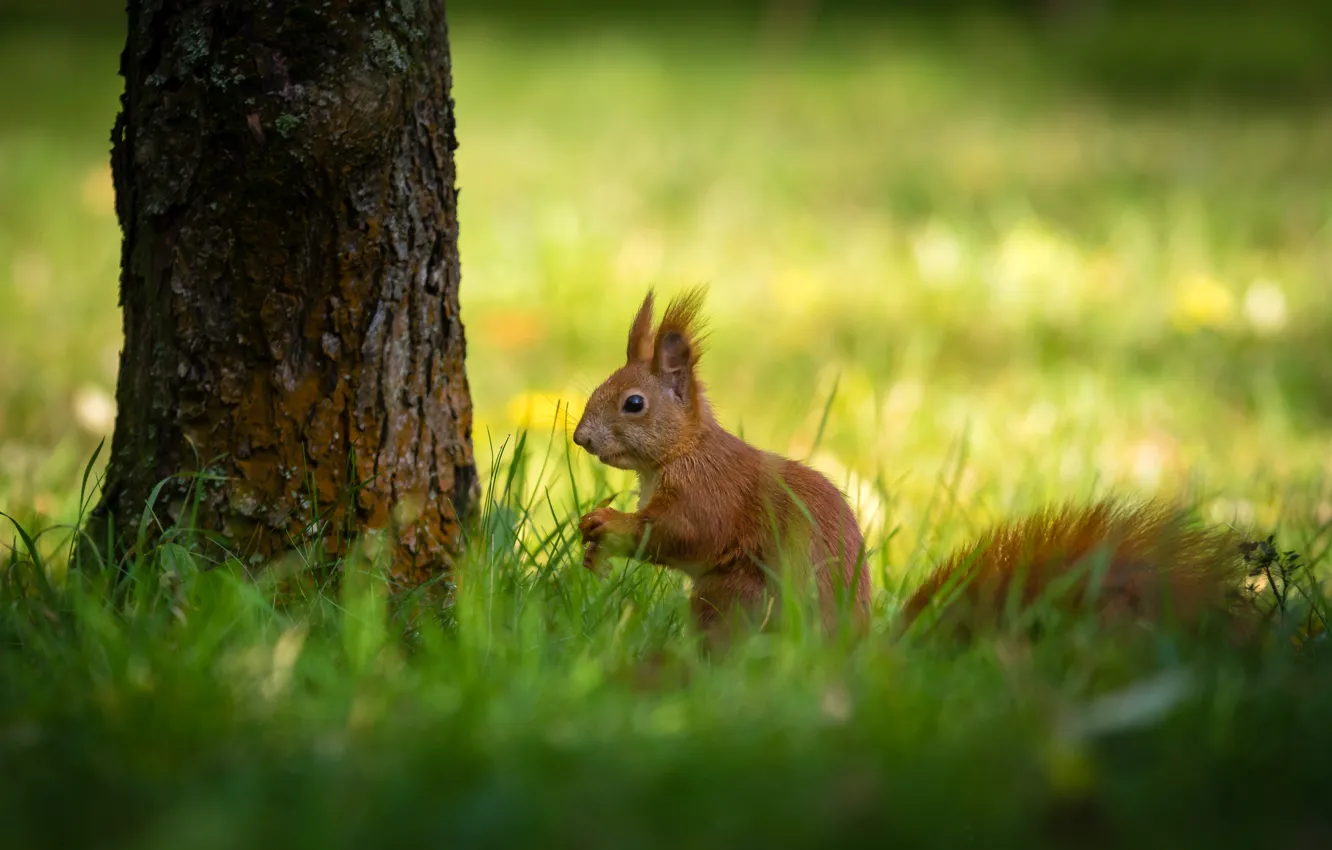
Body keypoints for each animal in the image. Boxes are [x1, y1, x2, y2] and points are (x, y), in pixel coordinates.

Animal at [572, 290, 1257, 650]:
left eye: (633, 403)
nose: (580, 438)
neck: (682, 452)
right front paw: (589, 538)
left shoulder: (708, 492)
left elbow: (684, 534)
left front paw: (607, 523)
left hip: (735, 597)